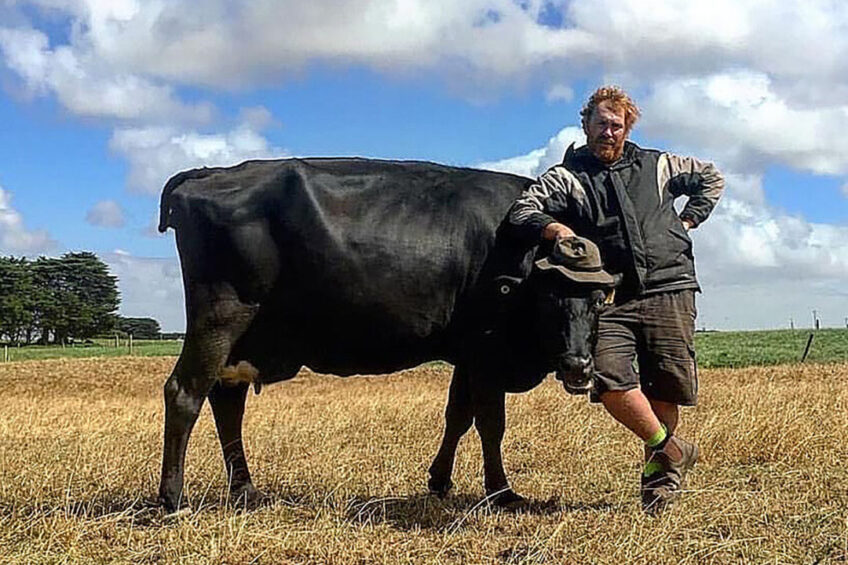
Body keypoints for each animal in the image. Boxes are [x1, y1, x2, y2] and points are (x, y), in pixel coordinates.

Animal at [156, 156, 612, 508]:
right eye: (550, 299)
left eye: (597, 301)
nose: (578, 366)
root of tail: (211, 171)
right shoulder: (486, 354)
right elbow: (489, 423)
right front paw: (501, 492)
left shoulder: (466, 354)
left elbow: (458, 416)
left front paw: (440, 481)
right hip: (220, 319)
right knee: (185, 394)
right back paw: (173, 498)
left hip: (241, 341)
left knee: (227, 402)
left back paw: (246, 490)